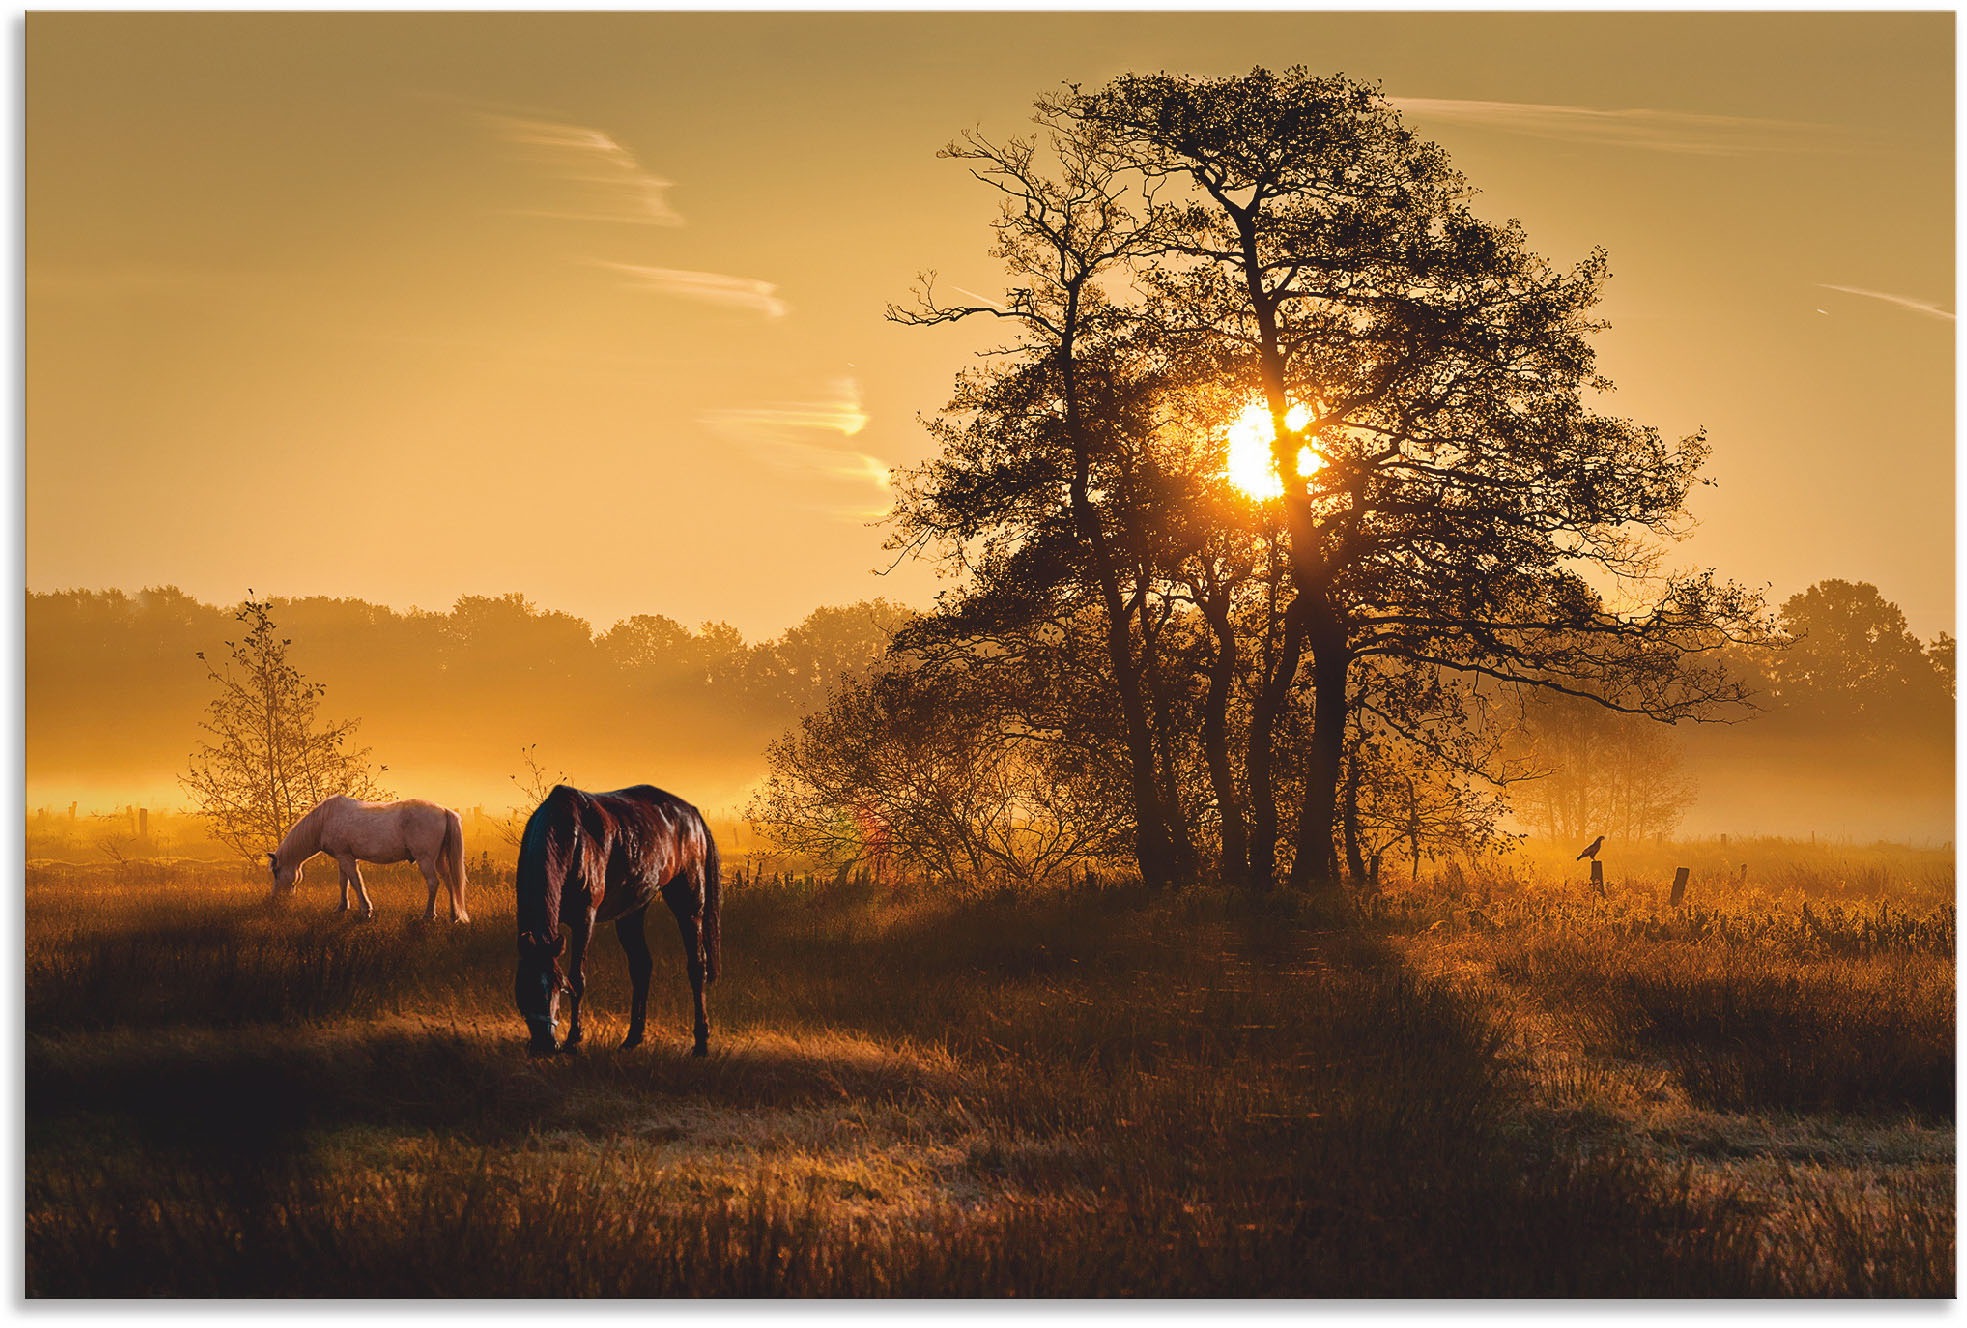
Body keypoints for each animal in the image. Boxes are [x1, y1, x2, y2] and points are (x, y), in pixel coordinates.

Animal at [267, 798, 470, 924]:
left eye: (276, 872)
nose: (276, 900)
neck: (325, 821)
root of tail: (444, 810)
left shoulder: (346, 858)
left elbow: (356, 882)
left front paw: (366, 910)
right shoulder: (343, 856)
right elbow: (343, 882)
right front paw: (341, 908)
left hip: (425, 859)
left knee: (433, 882)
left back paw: (428, 915)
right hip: (439, 860)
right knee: (449, 881)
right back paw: (454, 915)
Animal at [515, 790, 723, 1062]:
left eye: (558, 987)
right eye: (523, 987)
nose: (545, 1045)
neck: (570, 838)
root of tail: (694, 816)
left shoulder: (585, 919)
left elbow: (578, 978)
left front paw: (574, 1040)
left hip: (689, 905)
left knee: (697, 967)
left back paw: (700, 1043)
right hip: (632, 912)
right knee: (642, 966)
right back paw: (632, 1038)